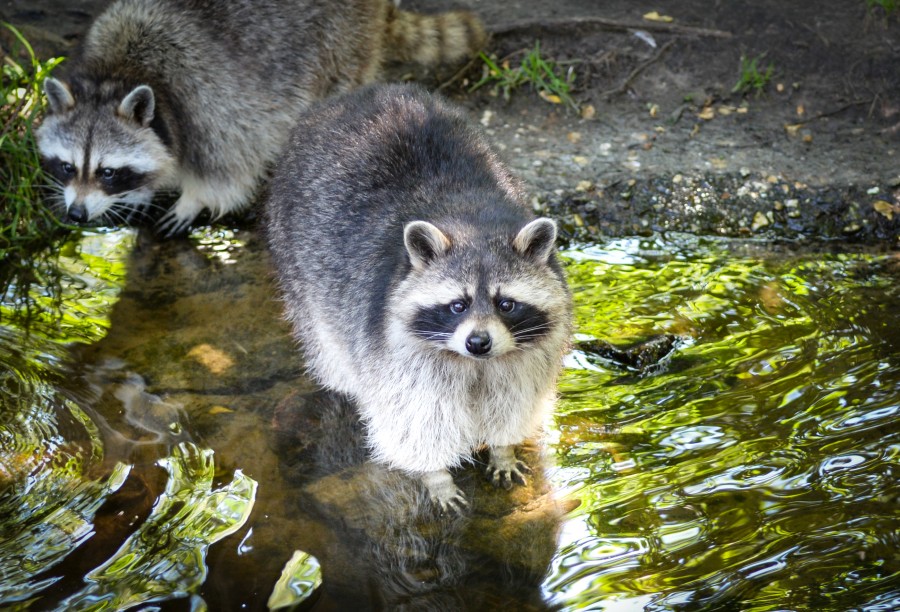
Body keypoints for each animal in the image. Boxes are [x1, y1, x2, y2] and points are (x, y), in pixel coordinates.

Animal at [36, 0, 485, 235]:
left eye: (108, 171)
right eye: (67, 166)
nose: (76, 214)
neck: (118, 74)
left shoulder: (205, 100)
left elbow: (228, 170)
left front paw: (191, 199)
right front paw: (145, 190)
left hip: (342, 44)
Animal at [265, 84, 573, 513]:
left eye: (506, 304)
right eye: (458, 304)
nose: (478, 343)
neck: (472, 223)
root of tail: (358, 94)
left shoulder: (530, 357)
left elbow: (514, 400)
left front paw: (503, 448)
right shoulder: (394, 349)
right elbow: (415, 419)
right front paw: (436, 476)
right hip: (294, 254)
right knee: (330, 348)